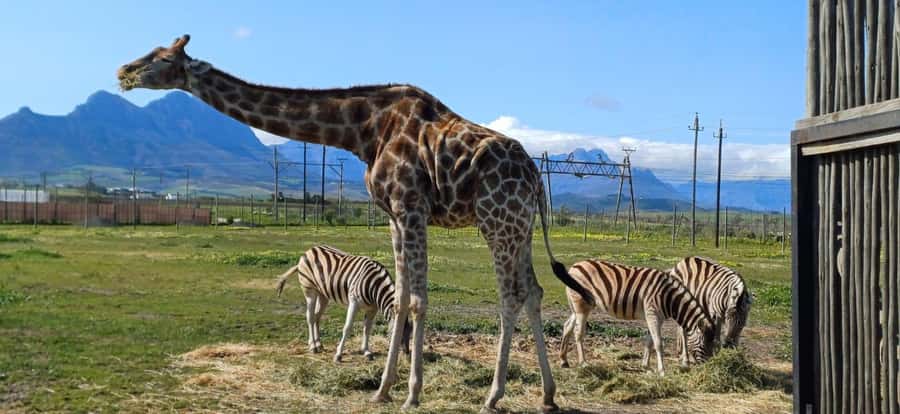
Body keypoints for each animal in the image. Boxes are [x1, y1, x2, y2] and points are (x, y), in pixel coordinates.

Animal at [117, 35, 595, 413]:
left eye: (162, 58)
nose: (123, 70)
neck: (361, 130)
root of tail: (536, 177)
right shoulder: (393, 216)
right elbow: (400, 297)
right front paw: (383, 389)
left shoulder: (410, 205)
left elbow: (417, 300)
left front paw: (411, 393)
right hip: (520, 227)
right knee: (533, 290)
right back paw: (548, 395)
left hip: (497, 221)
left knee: (510, 295)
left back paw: (493, 396)